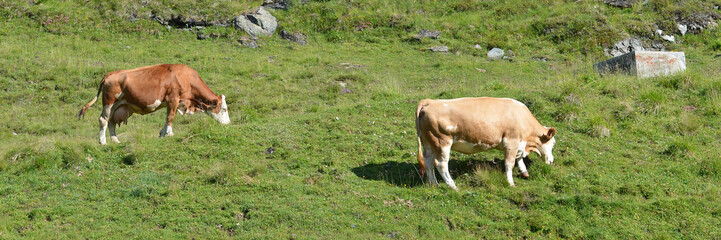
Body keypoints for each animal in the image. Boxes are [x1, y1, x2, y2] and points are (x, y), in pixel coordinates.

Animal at [76, 63, 229, 144]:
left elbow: (167, 119)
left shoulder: (172, 103)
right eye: (224, 109)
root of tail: (110, 74)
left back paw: (115, 140)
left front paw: (162, 133)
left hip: (117, 106)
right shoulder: (173, 99)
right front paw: (170, 133)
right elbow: (171, 117)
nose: (228, 124)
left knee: (111, 122)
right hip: (109, 103)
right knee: (103, 120)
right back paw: (103, 142)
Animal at [416, 97, 556, 189]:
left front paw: (524, 171)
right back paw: (452, 186)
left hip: (427, 142)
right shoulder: (511, 141)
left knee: (428, 162)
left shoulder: (519, 143)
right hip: (442, 142)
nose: (551, 161)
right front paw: (510, 183)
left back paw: (434, 184)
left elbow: (519, 157)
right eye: (553, 143)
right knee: (441, 164)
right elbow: (509, 163)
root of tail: (429, 101)